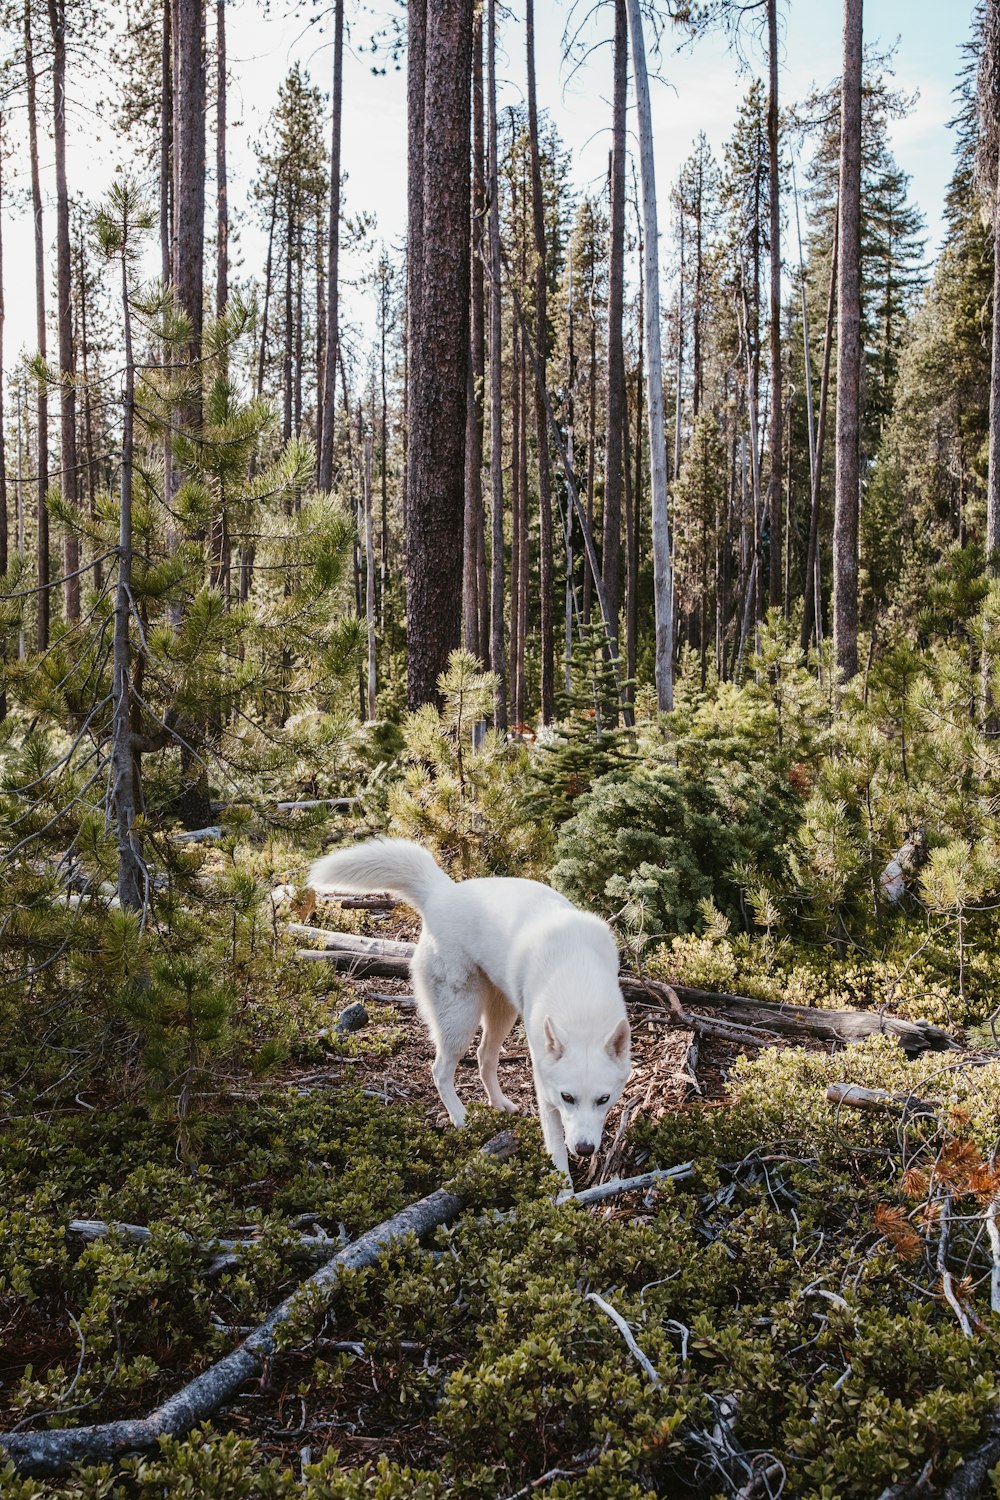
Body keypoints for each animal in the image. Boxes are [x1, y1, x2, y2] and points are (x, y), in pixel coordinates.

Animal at [308, 846, 629, 1170]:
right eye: (567, 1097)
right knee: (440, 1070)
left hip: (502, 1014)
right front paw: (563, 1183)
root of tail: (441, 892)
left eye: (604, 1099)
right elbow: (555, 1143)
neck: (578, 983)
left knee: (484, 1057)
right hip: (461, 1021)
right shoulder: (545, 1087)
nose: (585, 1149)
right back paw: (461, 1117)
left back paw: (499, 1104)